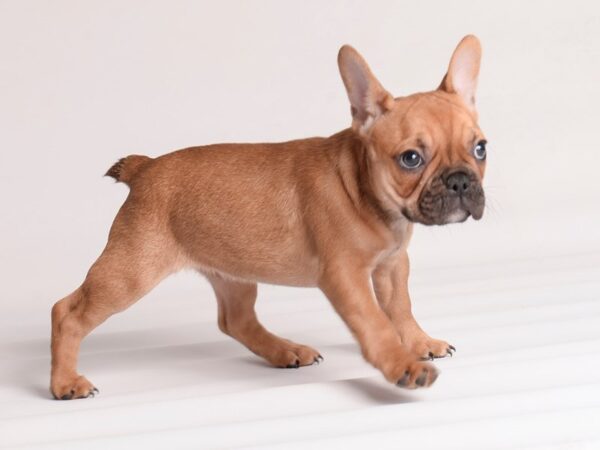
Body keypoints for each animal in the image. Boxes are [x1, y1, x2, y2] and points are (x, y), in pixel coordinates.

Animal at [49, 36, 486, 400]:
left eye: (480, 149)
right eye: (411, 159)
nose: (461, 181)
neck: (365, 190)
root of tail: (145, 168)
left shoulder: (393, 265)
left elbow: (401, 307)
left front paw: (419, 343)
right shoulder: (345, 276)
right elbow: (376, 322)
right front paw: (403, 366)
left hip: (233, 274)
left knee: (235, 321)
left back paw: (285, 350)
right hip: (131, 271)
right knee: (67, 312)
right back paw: (65, 383)